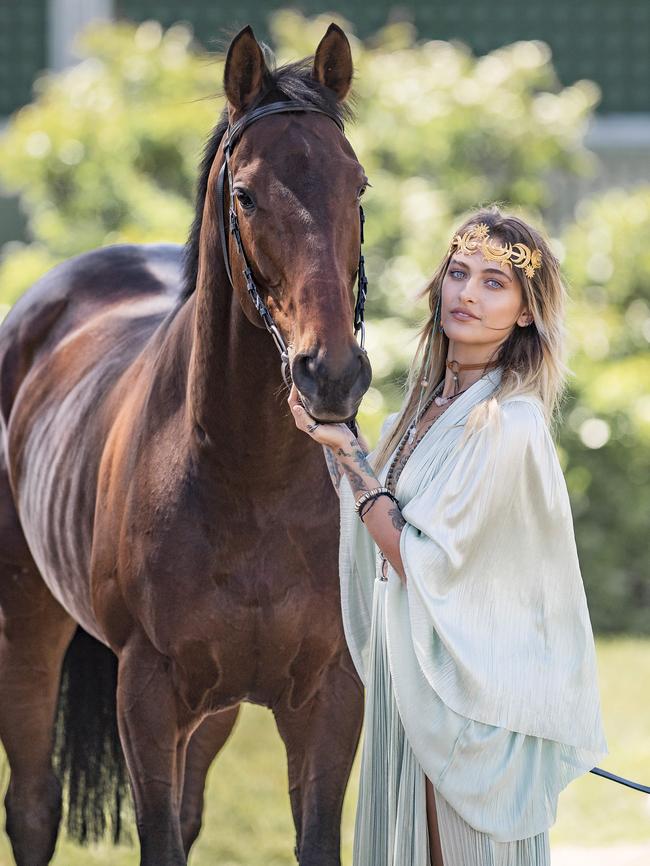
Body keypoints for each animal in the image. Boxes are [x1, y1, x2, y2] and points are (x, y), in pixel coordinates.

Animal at [0, 23, 370, 860]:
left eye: (358, 187)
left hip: (216, 706)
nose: (330, 374)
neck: (251, 476)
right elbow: (160, 837)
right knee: (32, 807)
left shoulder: (329, 693)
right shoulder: (148, 695)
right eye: (246, 194)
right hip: (26, 624)